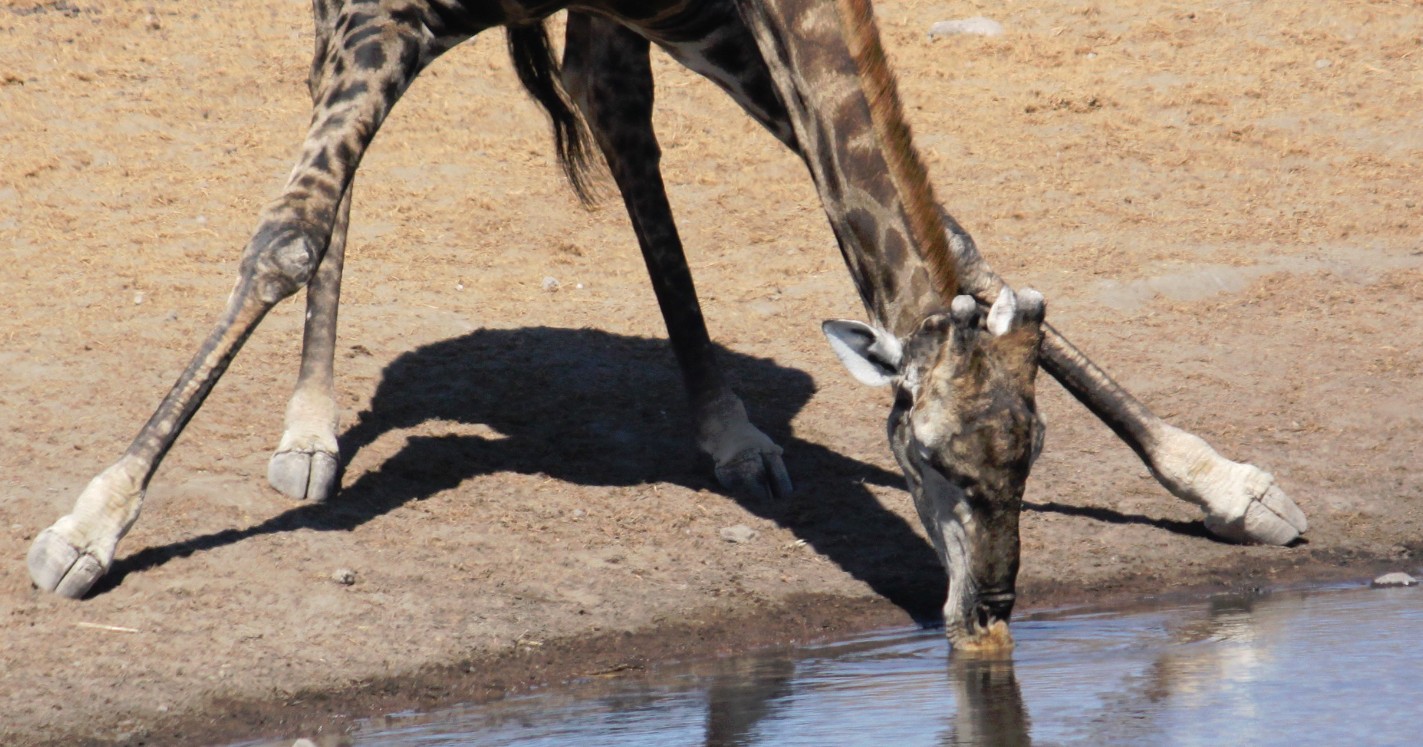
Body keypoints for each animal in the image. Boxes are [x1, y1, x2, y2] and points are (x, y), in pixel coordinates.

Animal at [25, 0, 1309, 645]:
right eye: (932, 460)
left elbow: (958, 234)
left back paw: (728, 430)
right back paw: (308, 428)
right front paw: (88, 529)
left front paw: (1226, 483)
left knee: (615, 112)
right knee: (324, 179)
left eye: (1033, 458)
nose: (988, 611)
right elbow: (285, 239)